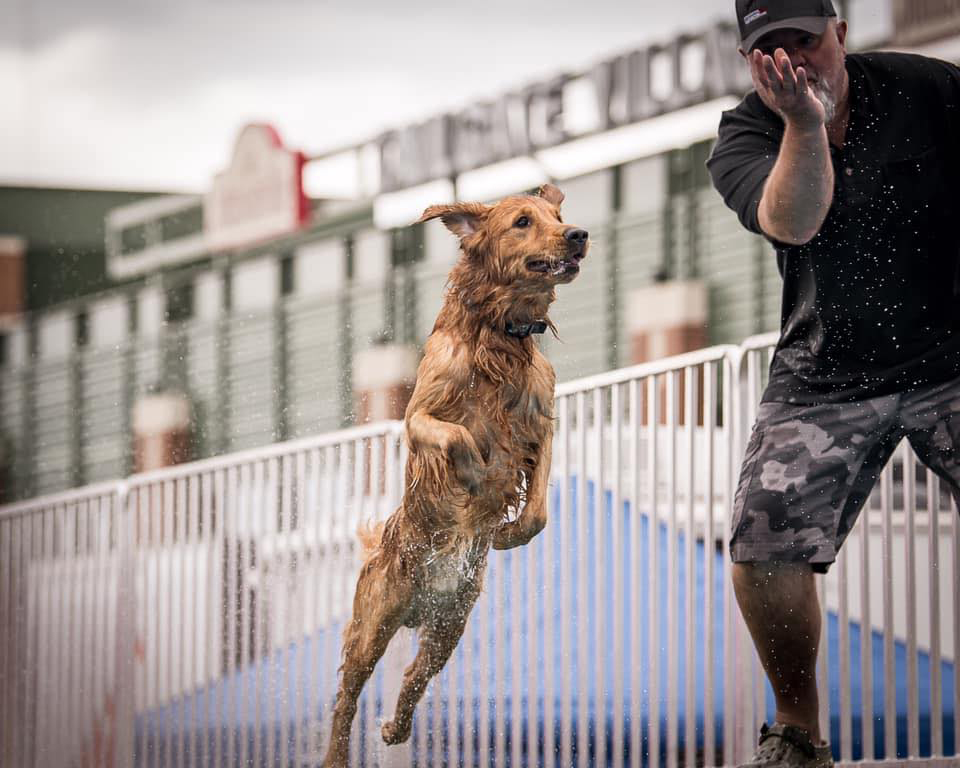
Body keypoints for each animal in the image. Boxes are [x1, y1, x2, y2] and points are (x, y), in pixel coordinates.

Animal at [320, 183, 584, 764]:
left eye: (557, 215)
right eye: (523, 221)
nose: (578, 234)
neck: (500, 332)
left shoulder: (542, 423)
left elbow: (539, 510)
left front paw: (504, 531)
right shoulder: (420, 417)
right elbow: (462, 439)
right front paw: (476, 481)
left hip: (450, 625)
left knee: (414, 677)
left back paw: (395, 730)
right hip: (374, 621)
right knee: (346, 695)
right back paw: (337, 753)